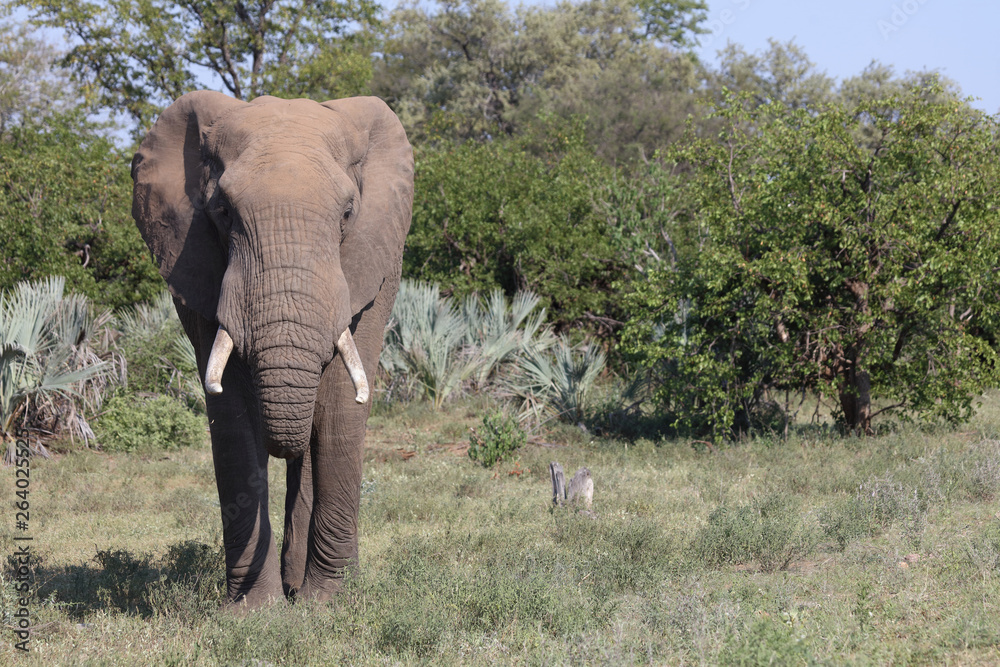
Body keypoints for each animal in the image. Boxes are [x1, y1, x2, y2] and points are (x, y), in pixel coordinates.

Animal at [130, 90, 413, 606]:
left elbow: (339, 405)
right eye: (222, 212)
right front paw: (254, 611)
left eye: (347, 214)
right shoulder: (196, 263)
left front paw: (327, 606)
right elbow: (231, 415)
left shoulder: (374, 266)